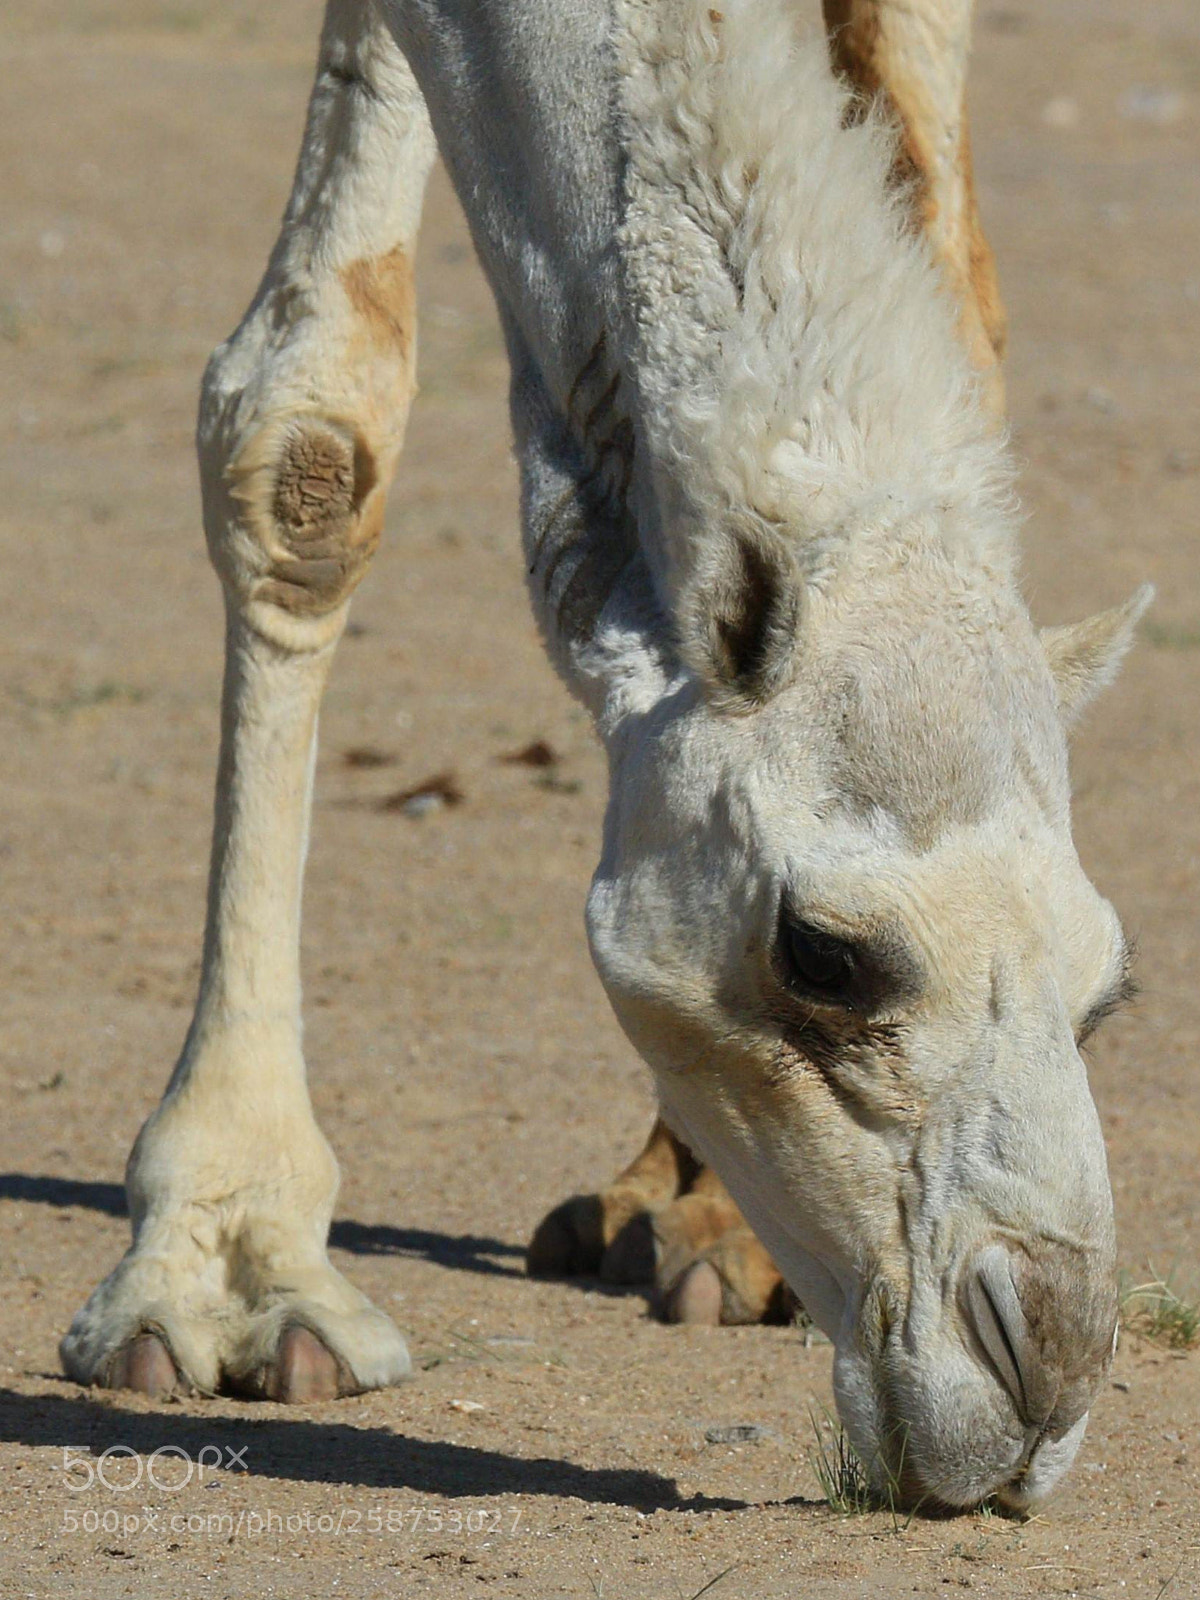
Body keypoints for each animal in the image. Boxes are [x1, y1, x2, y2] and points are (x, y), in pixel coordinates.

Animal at [60, 0, 1151, 1512]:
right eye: (822, 953)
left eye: (1110, 988)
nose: (1044, 1377)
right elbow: (305, 438)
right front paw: (226, 1270)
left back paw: (700, 1234)